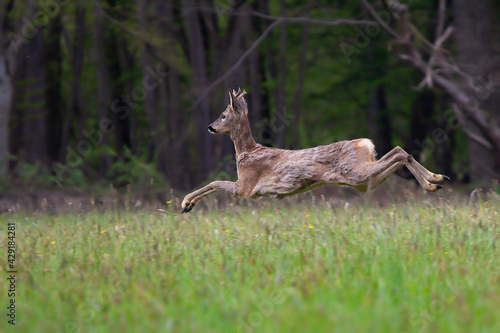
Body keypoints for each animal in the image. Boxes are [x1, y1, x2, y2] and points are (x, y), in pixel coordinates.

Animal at [181, 89, 450, 213]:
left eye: (223, 115)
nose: (210, 127)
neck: (247, 152)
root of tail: (364, 143)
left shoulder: (246, 186)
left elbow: (215, 182)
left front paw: (186, 203)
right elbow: (214, 183)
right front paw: (187, 204)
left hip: (357, 172)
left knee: (400, 151)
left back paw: (433, 181)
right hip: (364, 181)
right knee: (400, 155)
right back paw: (435, 180)